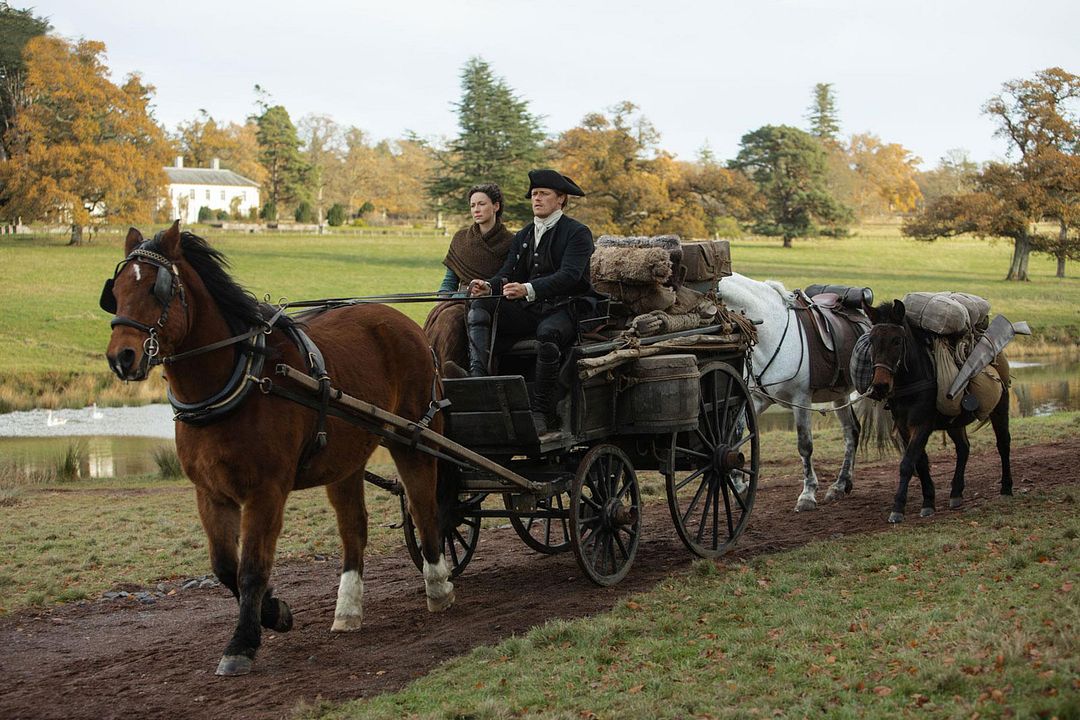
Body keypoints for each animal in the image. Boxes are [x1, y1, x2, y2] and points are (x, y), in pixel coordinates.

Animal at [102, 223, 455, 677]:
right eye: (117, 290)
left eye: (157, 289)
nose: (122, 357)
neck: (242, 379)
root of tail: (406, 324)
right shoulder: (210, 493)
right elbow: (225, 568)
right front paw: (276, 612)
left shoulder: (266, 491)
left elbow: (252, 569)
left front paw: (242, 643)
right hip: (346, 460)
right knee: (354, 529)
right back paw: (348, 610)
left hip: (413, 440)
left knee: (424, 508)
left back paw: (438, 586)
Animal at [721, 272, 864, 511]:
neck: (773, 331)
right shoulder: (758, 399)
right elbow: (736, 436)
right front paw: (740, 485)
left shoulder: (801, 399)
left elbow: (805, 445)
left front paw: (808, 494)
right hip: (840, 396)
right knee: (851, 432)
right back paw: (840, 485)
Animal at [859, 297, 1010, 524]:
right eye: (872, 340)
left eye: (896, 340)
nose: (880, 386)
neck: (913, 381)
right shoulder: (904, 428)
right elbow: (920, 462)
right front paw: (928, 502)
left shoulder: (922, 425)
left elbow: (907, 463)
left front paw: (898, 508)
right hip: (954, 421)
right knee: (963, 448)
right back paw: (956, 493)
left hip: (1000, 409)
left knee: (1003, 444)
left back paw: (1006, 488)